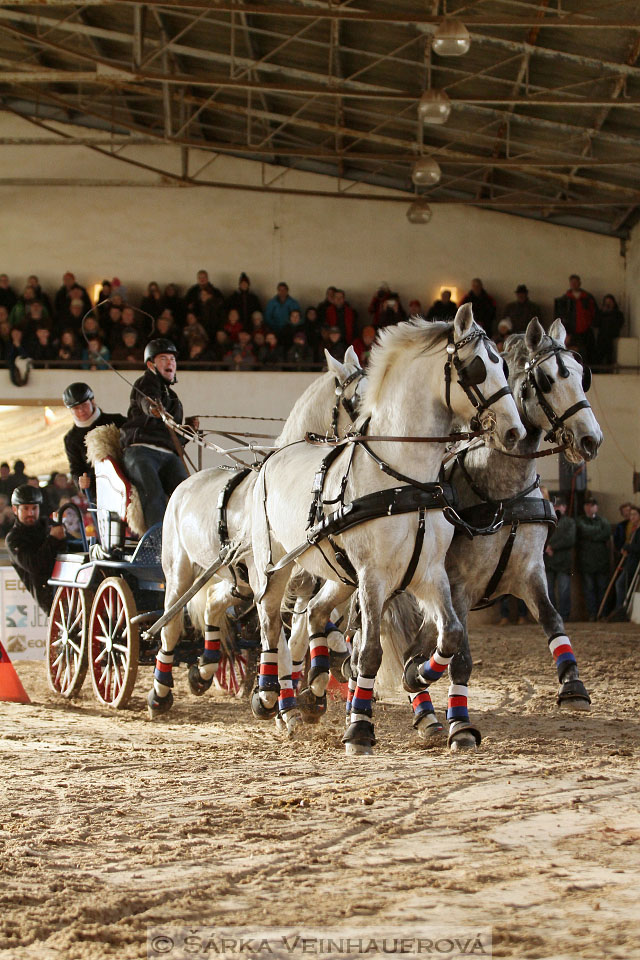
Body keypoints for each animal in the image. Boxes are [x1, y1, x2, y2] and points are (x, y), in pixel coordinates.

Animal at [146, 348, 364, 716]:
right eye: (356, 399)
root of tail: (187, 483)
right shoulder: (272, 577)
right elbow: (281, 637)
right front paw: (280, 701)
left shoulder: (306, 577)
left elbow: (302, 631)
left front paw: (312, 684)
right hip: (180, 571)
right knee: (171, 626)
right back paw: (160, 694)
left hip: (236, 582)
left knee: (213, 606)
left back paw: (204, 671)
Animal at [250, 306, 524, 752]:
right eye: (477, 367)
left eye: (502, 364)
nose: (515, 431)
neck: (404, 478)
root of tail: (271, 458)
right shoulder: (373, 577)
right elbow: (370, 653)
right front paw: (360, 729)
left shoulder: (428, 573)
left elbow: (449, 635)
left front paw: (421, 682)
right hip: (274, 567)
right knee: (272, 626)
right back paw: (274, 699)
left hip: (340, 575)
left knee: (315, 612)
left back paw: (316, 681)